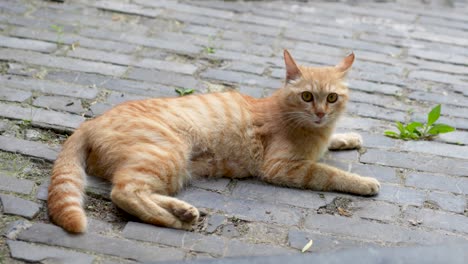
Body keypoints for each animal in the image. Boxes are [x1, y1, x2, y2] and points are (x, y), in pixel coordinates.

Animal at [48, 50, 380, 233]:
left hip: (174, 169)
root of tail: (91, 121)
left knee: (138, 190)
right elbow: (330, 173)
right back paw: (176, 221)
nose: (321, 113)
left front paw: (348, 137)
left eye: (332, 98)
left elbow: (333, 143)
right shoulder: (282, 167)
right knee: (124, 192)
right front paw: (363, 182)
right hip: (167, 154)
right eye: (307, 96)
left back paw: (182, 210)